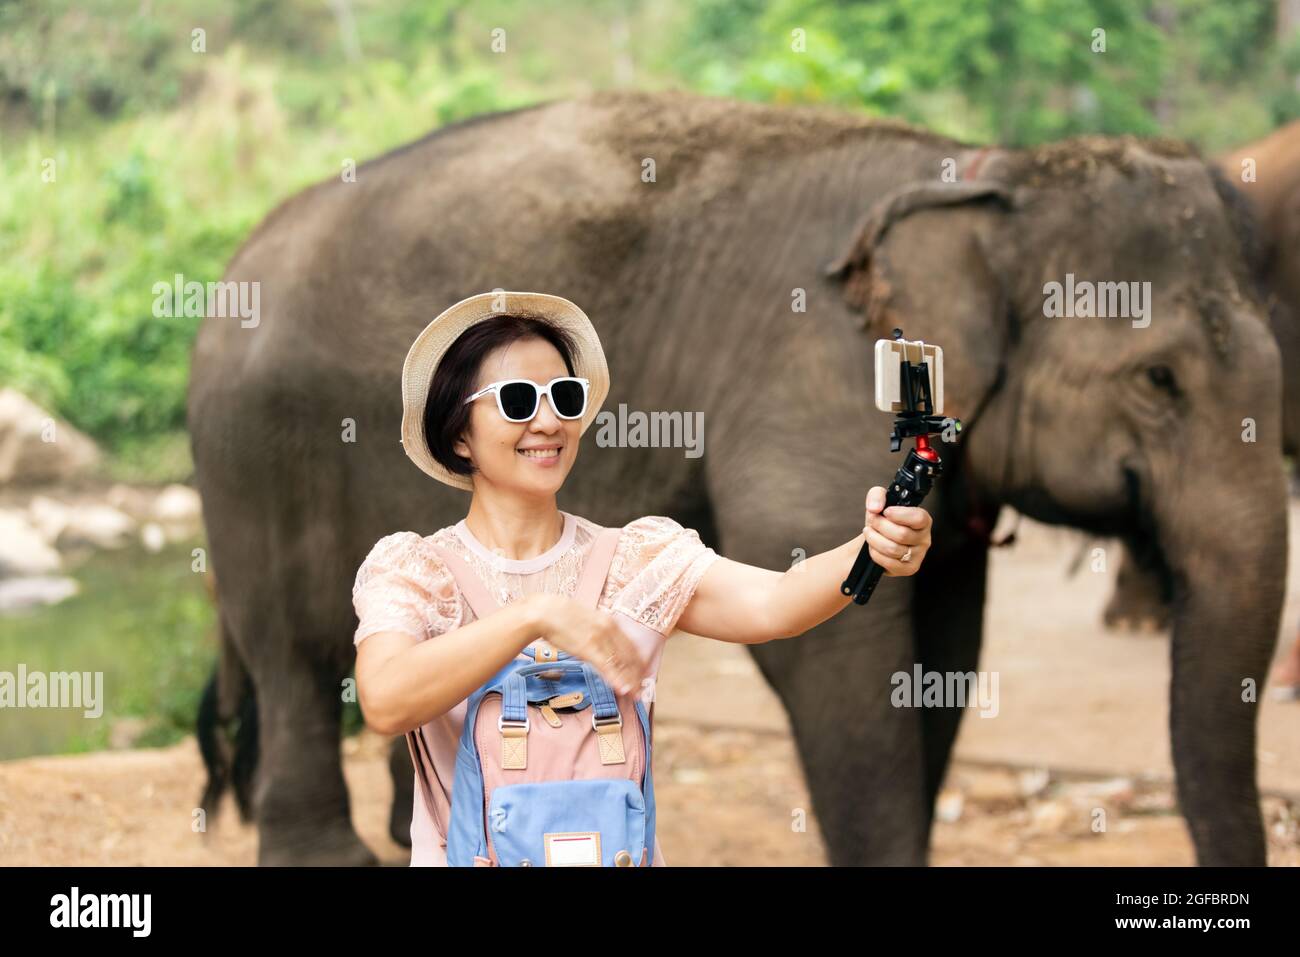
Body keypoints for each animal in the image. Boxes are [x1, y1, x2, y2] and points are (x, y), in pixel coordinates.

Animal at [192, 91, 1289, 868]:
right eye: (1158, 380)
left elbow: (943, 644)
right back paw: (328, 856)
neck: (979, 172)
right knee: (295, 652)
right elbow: (836, 652)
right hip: (251, 456)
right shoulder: (809, 385)